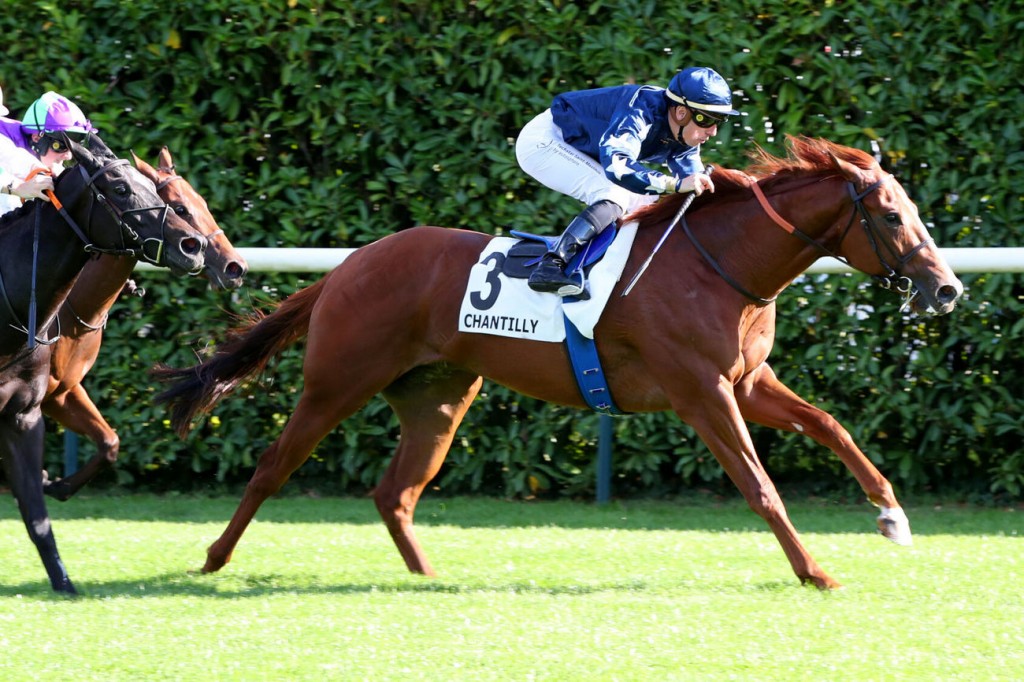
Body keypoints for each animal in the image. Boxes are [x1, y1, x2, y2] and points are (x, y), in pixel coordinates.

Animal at [0, 133, 208, 593]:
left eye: (157, 193)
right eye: (120, 189)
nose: (193, 247)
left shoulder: (27, 412)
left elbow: (39, 515)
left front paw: (63, 582)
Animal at [40, 147, 248, 502]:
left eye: (203, 201)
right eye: (180, 208)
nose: (235, 266)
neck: (74, 310)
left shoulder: (62, 390)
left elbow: (109, 443)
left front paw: (56, 484)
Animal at [153, 136, 963, 590]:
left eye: (914, 210)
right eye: (892, 215)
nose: (947, 288)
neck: (719, 265)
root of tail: (350, 265)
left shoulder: (747, 382)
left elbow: (831, 426)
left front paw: (891, 514)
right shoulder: (701, 392)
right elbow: (761, 486)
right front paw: (815, 571)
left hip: (438, 397)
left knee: (395, 492)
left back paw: (426, 577)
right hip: (337, 382)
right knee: (273, 466)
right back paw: (213, 559)